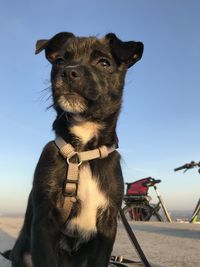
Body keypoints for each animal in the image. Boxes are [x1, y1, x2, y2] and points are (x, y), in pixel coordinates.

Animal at [8, 32, 143, 266]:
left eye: (104, 62)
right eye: (60, 61)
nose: (69, 72)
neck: (83, 153)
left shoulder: (107, 226)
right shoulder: (44, 223)